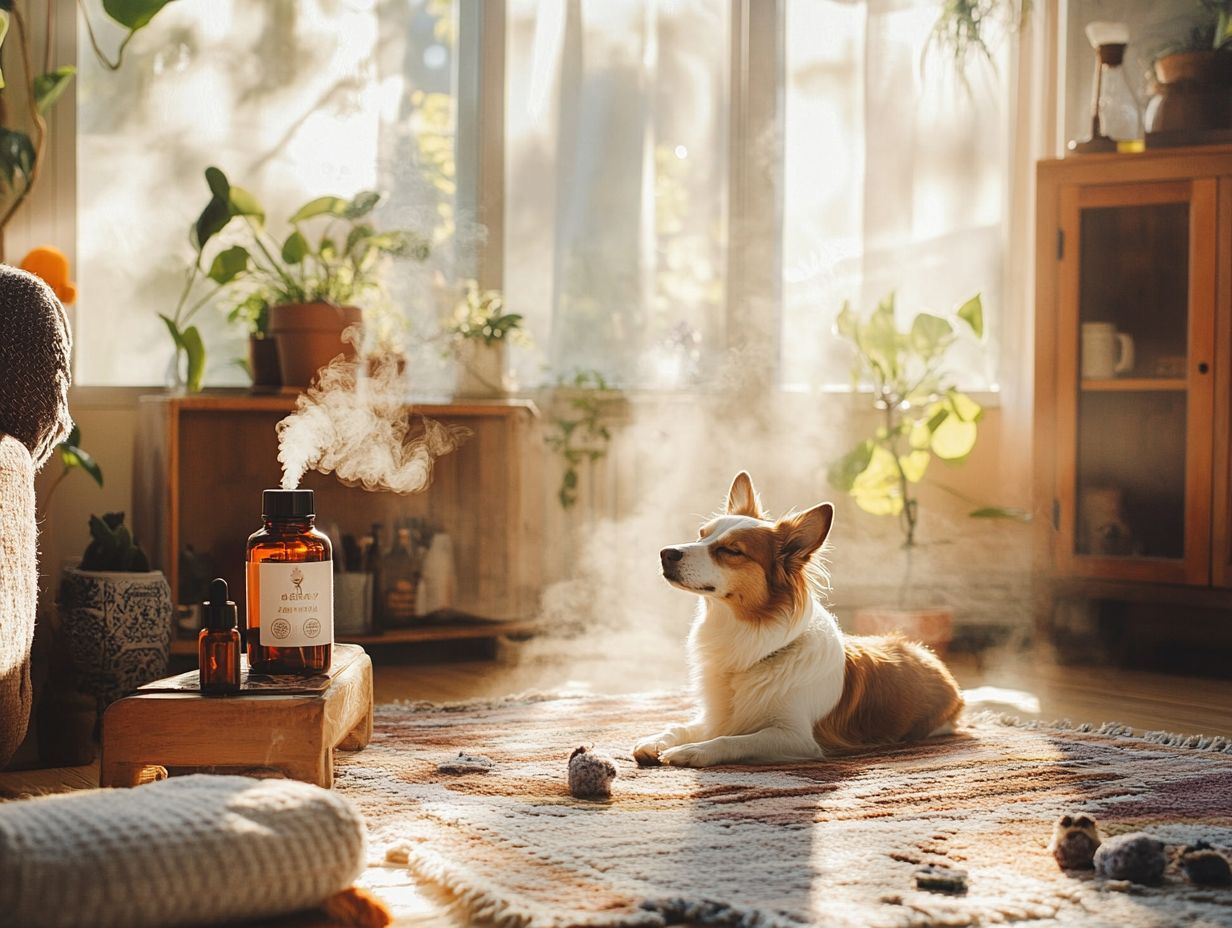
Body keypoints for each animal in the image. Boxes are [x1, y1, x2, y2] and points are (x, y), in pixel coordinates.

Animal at [635, 470, 960, 769]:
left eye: (731, 551)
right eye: (701, 534)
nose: (666, 553)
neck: (749, 641)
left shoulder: (797, 737)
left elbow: (733, 740)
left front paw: (694, 751)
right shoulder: (717, 717)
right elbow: (681, 726)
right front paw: (656, 740)